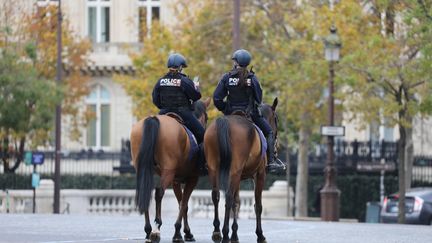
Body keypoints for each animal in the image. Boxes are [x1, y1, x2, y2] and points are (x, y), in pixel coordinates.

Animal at [132, 98, 211, 243]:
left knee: (146, 192)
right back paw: (156, 229)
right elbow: (184, 204)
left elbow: (181, 204)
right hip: (168, 171)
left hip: (144, 170)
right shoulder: (192, 179)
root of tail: (153, 119)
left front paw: (183, 232)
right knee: (159, 193)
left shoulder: (176, 181)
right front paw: (181, 232)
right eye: (207, 117)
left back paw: (148, 230)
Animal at [203, 97, 278, 243]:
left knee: (216, 196)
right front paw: (260, 235)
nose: (276, 148)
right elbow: (257, 205)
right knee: (228, 197)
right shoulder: (259, 174)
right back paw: (225, 233)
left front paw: (235, 235)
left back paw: (217, 231)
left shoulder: (238, 177)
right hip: (235, 171)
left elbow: (237, 203)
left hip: (215, 169)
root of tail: (225, 121)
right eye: (276, 119)